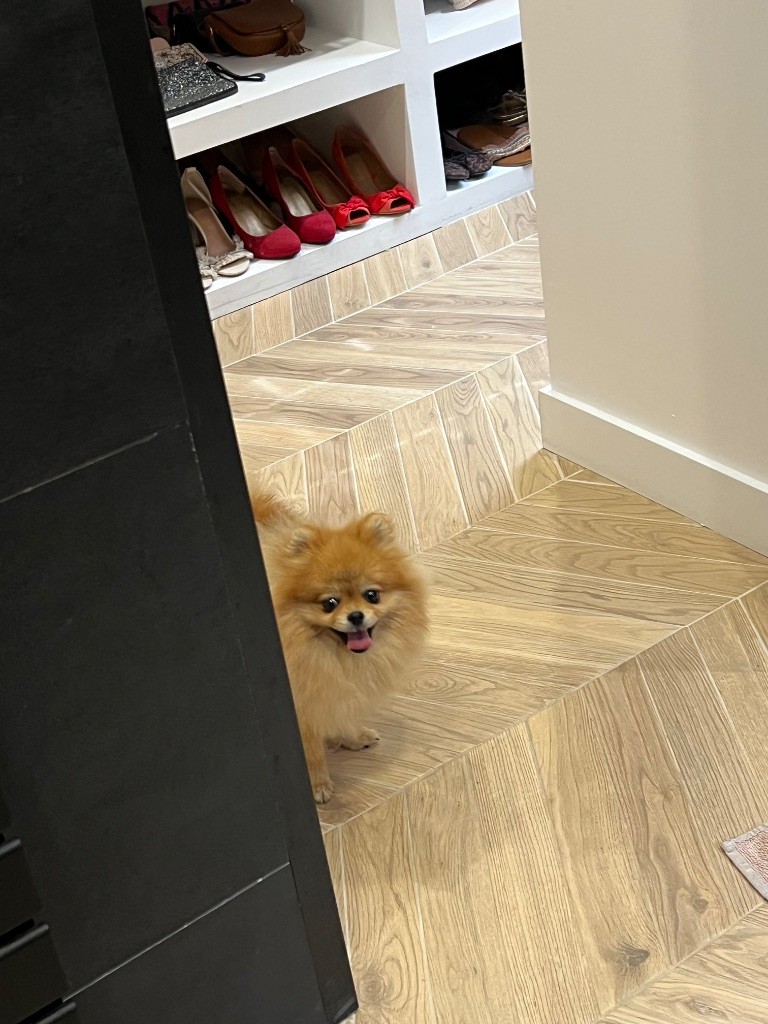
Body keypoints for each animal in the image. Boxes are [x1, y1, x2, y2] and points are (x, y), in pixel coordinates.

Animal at [251, 490, 428, 803]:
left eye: (371, 595)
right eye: (329, 603)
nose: (355, 616)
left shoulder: (333, 690)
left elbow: (341, 715)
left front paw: (353, 739)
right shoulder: (302, 706)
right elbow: (310, 751)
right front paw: (318, 784)